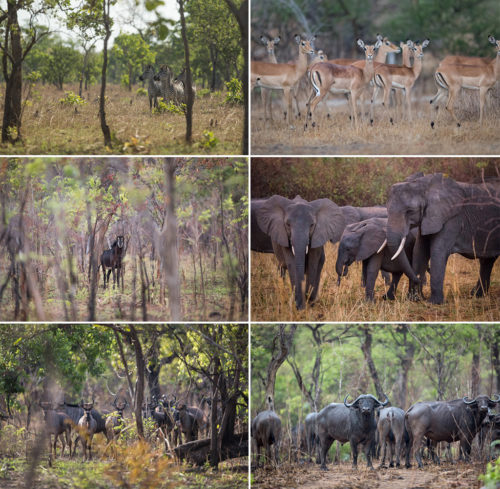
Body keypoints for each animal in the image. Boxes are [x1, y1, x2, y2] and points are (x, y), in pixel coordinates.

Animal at [386, 172, 500, 302]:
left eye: (410, 211)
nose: (419, 279)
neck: (426, 186)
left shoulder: (452, 218)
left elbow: (438, 251)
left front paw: (434, 302)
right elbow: (419, 251)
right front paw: (414, 299)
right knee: (488, 260)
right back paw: (477, 295)